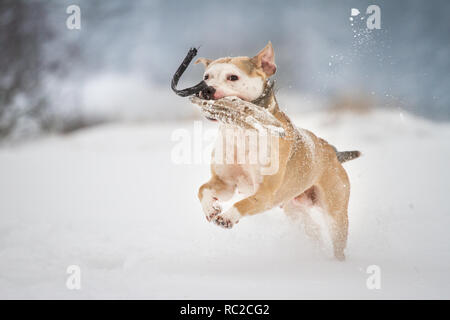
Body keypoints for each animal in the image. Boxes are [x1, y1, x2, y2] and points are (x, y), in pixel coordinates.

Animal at [195, 41, 360, 260]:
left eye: (233, 77)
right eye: (206, 77)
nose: (206, 90)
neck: (241, 131)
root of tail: (334, 154)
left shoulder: (265, 194)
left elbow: (244, 203)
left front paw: (227, 216)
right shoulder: (225, 183)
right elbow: (202, 189)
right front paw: (211, 208)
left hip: (336, 213)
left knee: (337, 238)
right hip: (296, 212)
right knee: (313, 230)